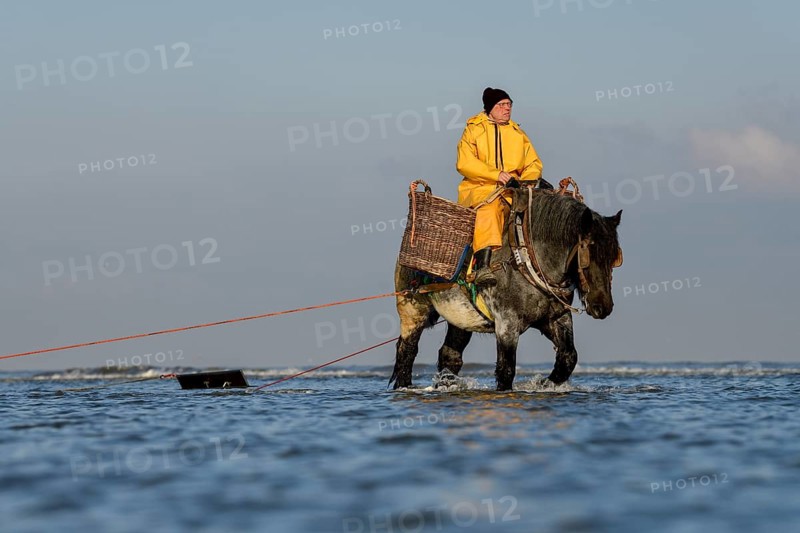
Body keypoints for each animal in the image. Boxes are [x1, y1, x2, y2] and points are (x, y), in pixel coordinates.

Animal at [389, 183, 623, 391]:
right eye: (587, 252)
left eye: (614, 258)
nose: (603, 305)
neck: (527, 259)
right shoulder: (507, 324)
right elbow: (506, 369)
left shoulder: (556, 318)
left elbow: (568, 358)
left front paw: (544, 384)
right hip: (413, 310)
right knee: (406, 351)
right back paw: (405, 387)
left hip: (460, 319)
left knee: (449, 356)